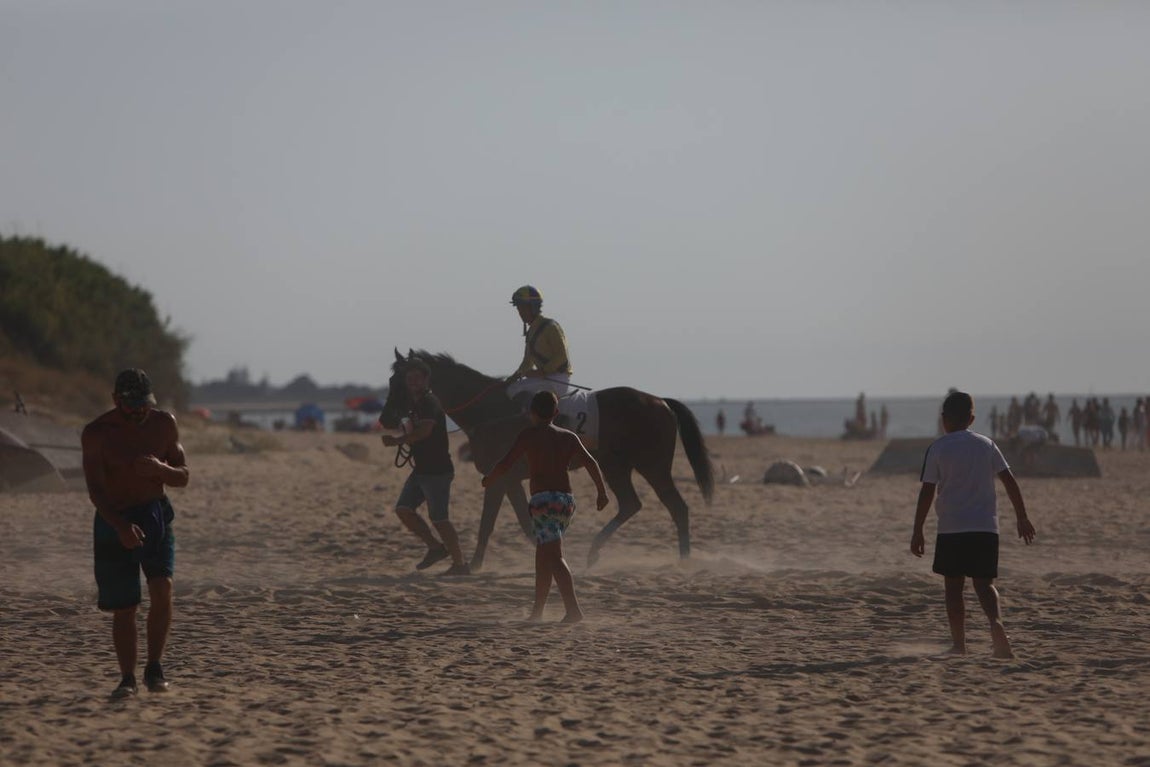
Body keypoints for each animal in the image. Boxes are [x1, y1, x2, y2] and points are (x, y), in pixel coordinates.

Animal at [379, 349, 714, 571]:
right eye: (391, 379)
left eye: (401, 381)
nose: (385, 419)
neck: (490, 411)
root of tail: (660, 401)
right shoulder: (508, 478)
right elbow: (517, 521)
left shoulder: (500, 477)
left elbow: (489, 522)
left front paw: (473, 565)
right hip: (620, 466)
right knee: (639, 504)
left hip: (646, 466)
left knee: (672, 506)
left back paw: (680, 558)